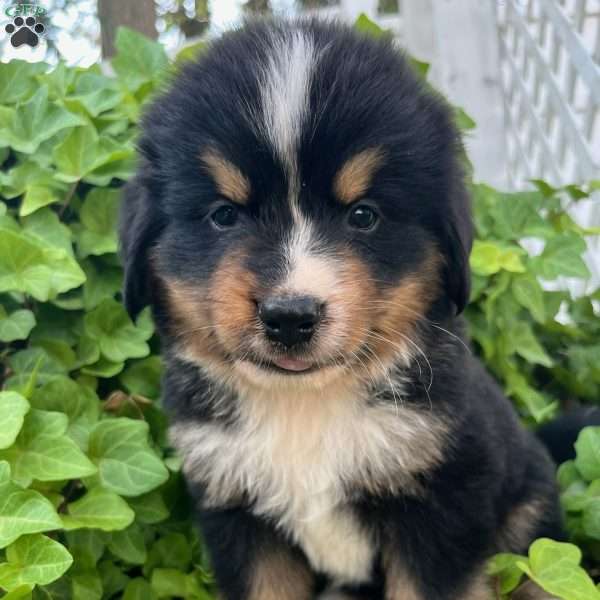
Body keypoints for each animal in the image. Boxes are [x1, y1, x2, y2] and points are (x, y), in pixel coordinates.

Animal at [120, 18, 564, 600]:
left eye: (363, 215)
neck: (305, 407)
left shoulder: (442, 505)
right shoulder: (238, 512)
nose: (289, 316)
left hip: (527, 514)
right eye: (223, 215)